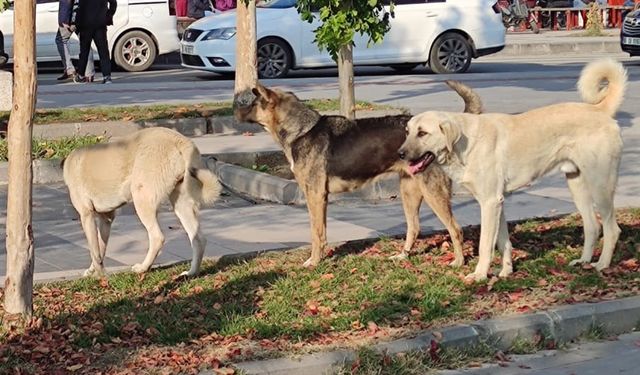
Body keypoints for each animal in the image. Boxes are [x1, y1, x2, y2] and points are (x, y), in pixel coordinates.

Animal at [62, 128, 221, 278]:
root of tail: (180, 141)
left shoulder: (86, 216)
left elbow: (94, 251)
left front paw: (100, 276)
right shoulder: (106, 219)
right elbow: (100, 250)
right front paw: (93, 271)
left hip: (142, 199)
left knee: (157, 237)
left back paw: (143, 268)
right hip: (182, 204)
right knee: (198, 239)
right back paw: (191, 273)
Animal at [400, 59, 624, 282]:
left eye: (422, 133)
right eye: (407, 132)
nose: (400, 153)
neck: (465, 143)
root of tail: (600, 110)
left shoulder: (489, 203)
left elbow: (485, 244)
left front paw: (480, 275)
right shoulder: (497, 203)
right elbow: (503, 242)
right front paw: (506, 271)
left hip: (600, 186)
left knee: (612, 229)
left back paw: (602, 264)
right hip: (577, 185)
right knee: (593, 226)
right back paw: (583, 261)